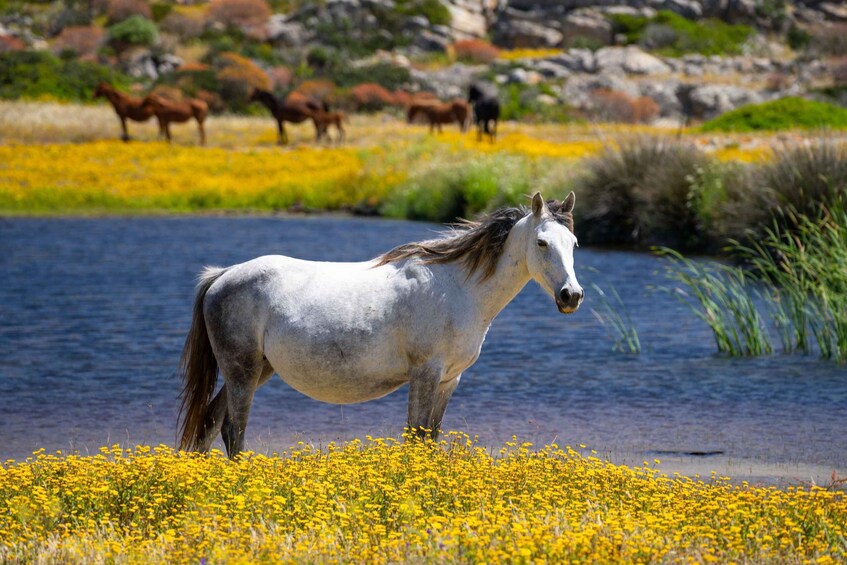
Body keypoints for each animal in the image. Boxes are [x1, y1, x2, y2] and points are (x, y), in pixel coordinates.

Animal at [177, 191, 583, 458]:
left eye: (575, 243)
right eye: (542, 242)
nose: (571, 295)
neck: (456, 287)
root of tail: (222, 275)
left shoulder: (450, 379)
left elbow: (430, 438)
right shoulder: (426, 372)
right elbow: (415, 436)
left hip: (256, 370)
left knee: (210, 423)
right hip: (242, 370)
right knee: (233, 428)